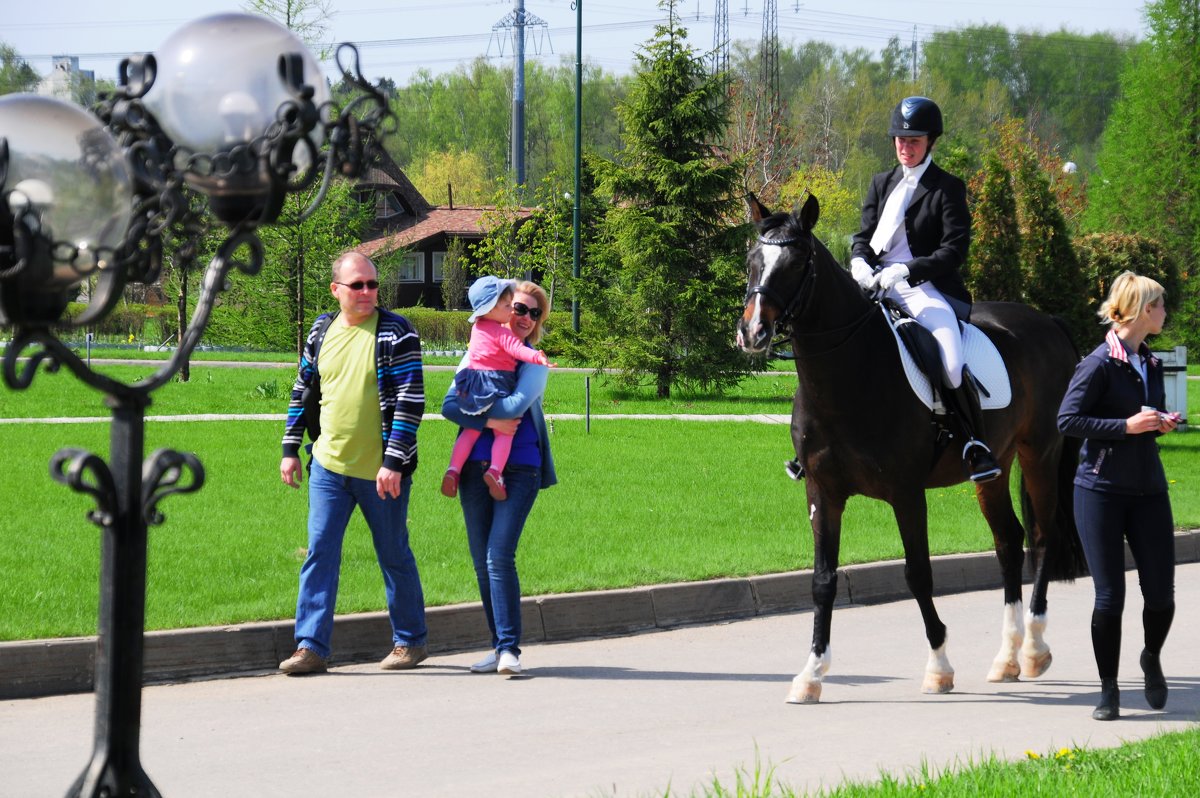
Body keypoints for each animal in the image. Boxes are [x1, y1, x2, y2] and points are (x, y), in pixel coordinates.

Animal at [734, 194, 1084, 705]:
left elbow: (917, 573)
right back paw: (1006, 658)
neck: (849, 374)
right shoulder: (822, 491)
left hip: (1039, 452)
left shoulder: (906, 493)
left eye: (797, 263)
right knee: (1008, 541)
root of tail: (1048, 322)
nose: (753, 332)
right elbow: (822, 580)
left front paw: (939, 667)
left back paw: (1035, 649)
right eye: (751, 260)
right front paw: (811, 674)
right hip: (995, 466)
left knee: (1042, 537)